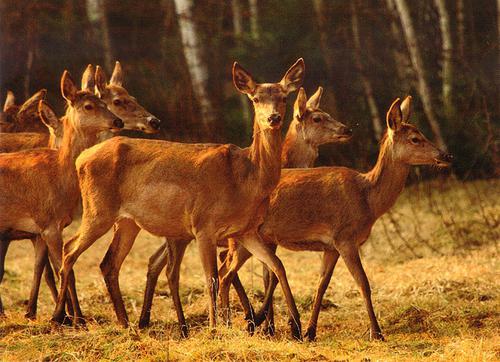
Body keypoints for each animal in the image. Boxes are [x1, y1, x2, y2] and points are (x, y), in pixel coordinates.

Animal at [0, 70, 123, 322]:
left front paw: (69, 317)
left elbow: (48, 269)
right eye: (88, 106)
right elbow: (66, 269)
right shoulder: (49, 224)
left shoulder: (43, 230)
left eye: (104, 102)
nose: (118, 121)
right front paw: (67, 318)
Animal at [52, 59, 306, 340]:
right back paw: (61, 318)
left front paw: (298, 327)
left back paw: (126, 324)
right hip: (97, 210)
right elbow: (211, 278)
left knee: (108, 263)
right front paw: (214, 329)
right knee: (69, 250)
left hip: (127, 222)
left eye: (284, 97)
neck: (246, 179)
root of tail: (81, 158)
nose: (273, 117)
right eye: (256, 98)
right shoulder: (204, 224)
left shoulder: (246, 230)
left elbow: (277, 266)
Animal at [138, 85, 352, 336]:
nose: (347, 129)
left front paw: (265, 323)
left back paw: (145, 320)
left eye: (327, 113)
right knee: (169, 268)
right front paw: (263, 322)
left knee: (155, 261)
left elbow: (268, 271)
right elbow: (263, 274)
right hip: (181, 234)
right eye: (318, 118)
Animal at [219, 95, 454, 340]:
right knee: (226, 272)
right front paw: (377, 332)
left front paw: (311, 331)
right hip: (242, 237)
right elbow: (363, 283)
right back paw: (235, 322)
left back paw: (249, 321)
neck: (368, 199)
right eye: (415, 139)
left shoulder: (330, 246)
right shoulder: (346, 238)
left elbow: (322, 284)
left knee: (233, 271)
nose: (446, 156)